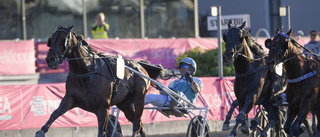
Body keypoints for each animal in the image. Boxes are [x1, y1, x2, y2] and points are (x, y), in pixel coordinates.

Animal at [35, 25, 165, 137]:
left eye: (63, 40)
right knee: (139, 124)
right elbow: (54, 114)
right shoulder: (69, 100)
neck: (85, 71)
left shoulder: (103, 108)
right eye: (51, 39)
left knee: (137, 124)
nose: (50, 59)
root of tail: (140, 66)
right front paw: (40, 132)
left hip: (139, 99)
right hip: (124, 103)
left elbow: (101, 132)